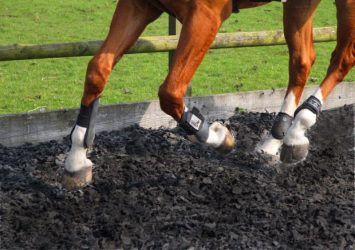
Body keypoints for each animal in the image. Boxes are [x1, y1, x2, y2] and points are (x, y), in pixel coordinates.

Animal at [62, 0, 354, 188]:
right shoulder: (138, 5)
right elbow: (97, 70)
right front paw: (77, 159)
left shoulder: (204, 16)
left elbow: (170, 92)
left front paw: (218, 136)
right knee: (302, 61)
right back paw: (279, 138)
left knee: (343, 57)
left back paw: (300, 127)